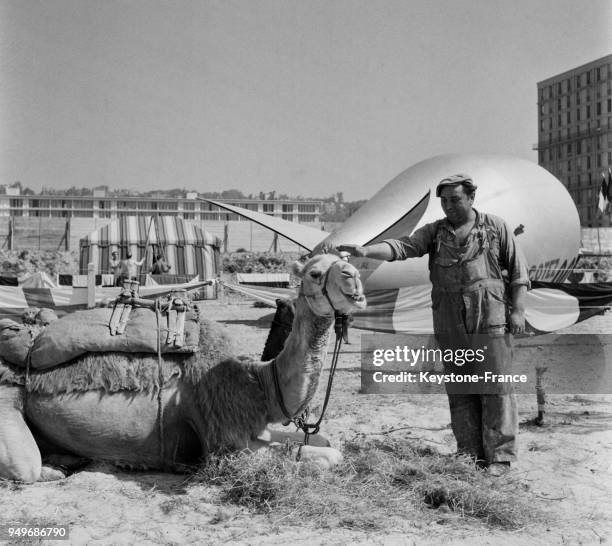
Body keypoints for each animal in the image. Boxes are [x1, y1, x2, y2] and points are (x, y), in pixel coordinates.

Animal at [0, 252, 364, 480]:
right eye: (315, 273)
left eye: (344, 262)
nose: (355, 281)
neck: (259, 384)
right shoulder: (224, 446)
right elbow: (329, 457)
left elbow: (326, 443)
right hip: (7, 399)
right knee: (24, 469)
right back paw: (55, 469)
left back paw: (68, 459)